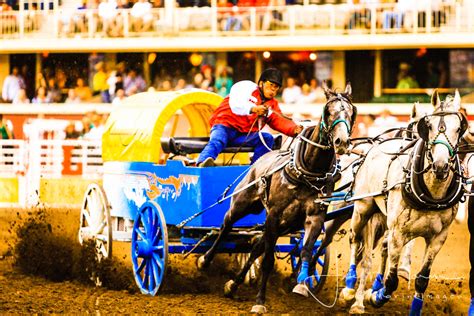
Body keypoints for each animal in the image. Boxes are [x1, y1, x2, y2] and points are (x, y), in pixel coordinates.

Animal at [195, 81, 356, 314]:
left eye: (351, 113)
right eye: (329, 111)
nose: (341, 141)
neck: (308, 172)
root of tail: (259, 160)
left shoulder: (314, 217)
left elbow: (306, 250)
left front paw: (301, 284)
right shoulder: (273, 215)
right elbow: (268, 261)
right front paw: (260, 301)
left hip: (285, 224)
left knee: (255, 247)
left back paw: (232, 285)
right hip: (244, 204)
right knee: (226, 226)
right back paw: (205, 260)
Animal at [340, 90, 466, 314]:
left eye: (459, 128)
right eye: (429, 126)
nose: (440, 166)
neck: (431, 195)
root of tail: (375, 147)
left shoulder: (438, 238)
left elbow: (422, 280)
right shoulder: (398, 233)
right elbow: (391, 280)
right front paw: (375, 295)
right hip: (363, 208)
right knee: (356, 243)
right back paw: (351, 291)